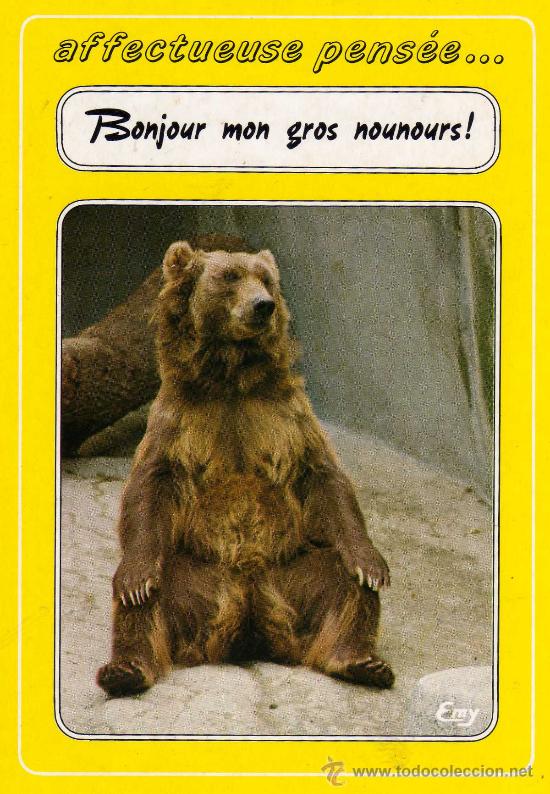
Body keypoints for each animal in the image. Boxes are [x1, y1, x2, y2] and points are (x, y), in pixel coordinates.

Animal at [96, 241, 394, 698]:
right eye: (230, 276)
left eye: (266, 279)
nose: (263, 305)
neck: (230, 379)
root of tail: (249, 617)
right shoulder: (179, 421)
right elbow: (150, 486)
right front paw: (134, 579)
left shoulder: (284, 416)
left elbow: (324, 478)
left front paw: (372, 564)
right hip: (195, 577)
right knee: (150, 600)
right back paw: (125, 669)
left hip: (294, 574)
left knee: (341, 580)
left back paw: (360, 660)